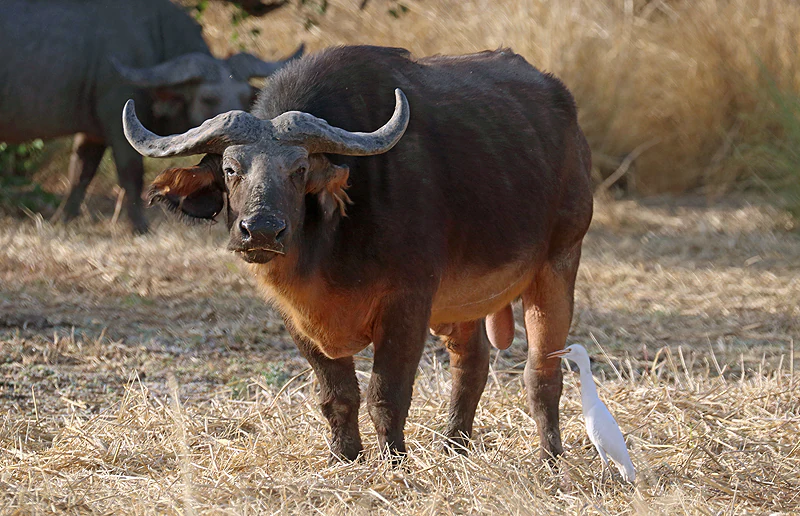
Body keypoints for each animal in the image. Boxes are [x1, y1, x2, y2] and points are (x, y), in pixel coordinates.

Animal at [0, 0, 302, 233]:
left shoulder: (92, 134)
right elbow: (130, 173)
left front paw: (62, 220)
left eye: (244, 96)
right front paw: (139, 227)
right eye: (207, 98)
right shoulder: (117, 124)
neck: (153, 37)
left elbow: (80, 173)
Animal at [125, 46, 593, 462]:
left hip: (558, 264)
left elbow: (386, 394)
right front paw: (344, 455)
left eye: (299, 170)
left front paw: (394, 460)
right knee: (473, 362)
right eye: (230, 169)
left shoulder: (408, 303)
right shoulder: (297, 317)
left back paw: (549, 456)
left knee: (542, 373)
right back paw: (453, 446)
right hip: (461, 301)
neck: (328, 247)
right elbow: (338, 395)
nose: (260, 230)